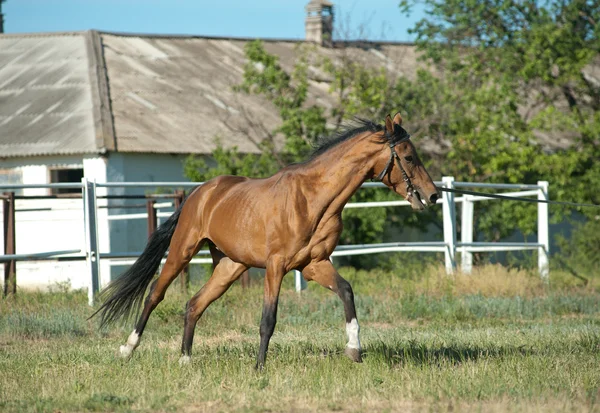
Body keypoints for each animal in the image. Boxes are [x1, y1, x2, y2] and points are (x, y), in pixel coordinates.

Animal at [95, 112, 440, 366]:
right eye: (408, 157)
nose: (433, 195)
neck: (312, 199)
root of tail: (199, 193)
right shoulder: (277, 266)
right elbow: (268, 319)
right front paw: (259, 367)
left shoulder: (313, 264)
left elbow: (346, 291)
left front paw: (354, 349)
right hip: (183, 250)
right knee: (155, 293)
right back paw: (127, 349)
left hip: (230, 266)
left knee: (194, 304)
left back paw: (185, 360)